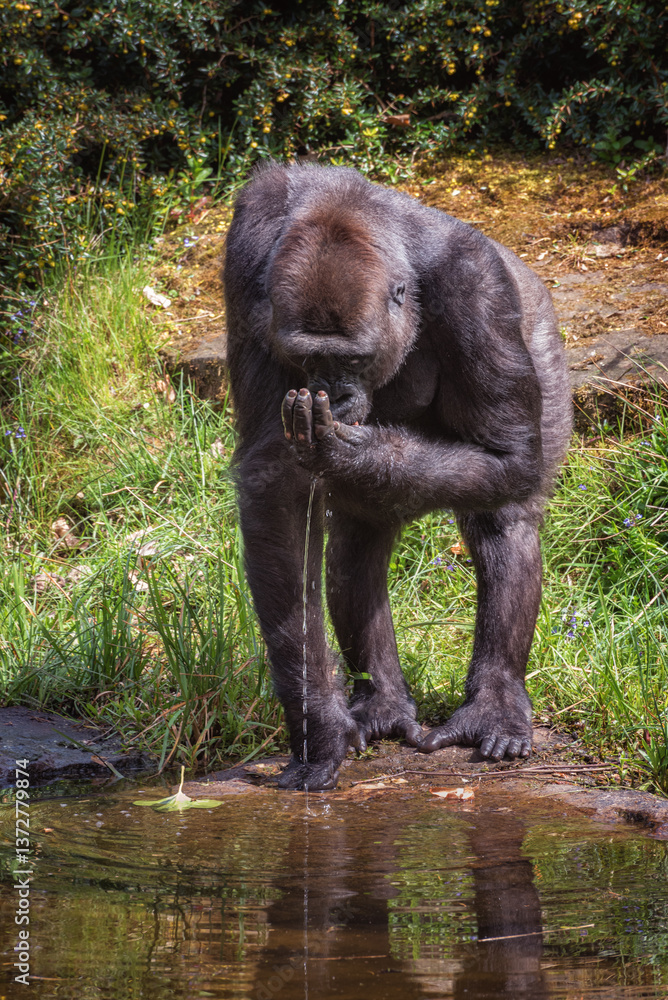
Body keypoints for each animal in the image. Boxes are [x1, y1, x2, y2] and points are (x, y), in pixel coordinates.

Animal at [223, 162, 572, 790]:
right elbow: (275, 491)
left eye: (352, 360)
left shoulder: (477, 286)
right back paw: (383, 701)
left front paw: (353, 454)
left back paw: (495, 702)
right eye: (309, 360)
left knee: (504, 519)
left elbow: (507, 455)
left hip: (540, 332)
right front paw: (318, 728)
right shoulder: (246, 260)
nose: (334, 396)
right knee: (357, 547)